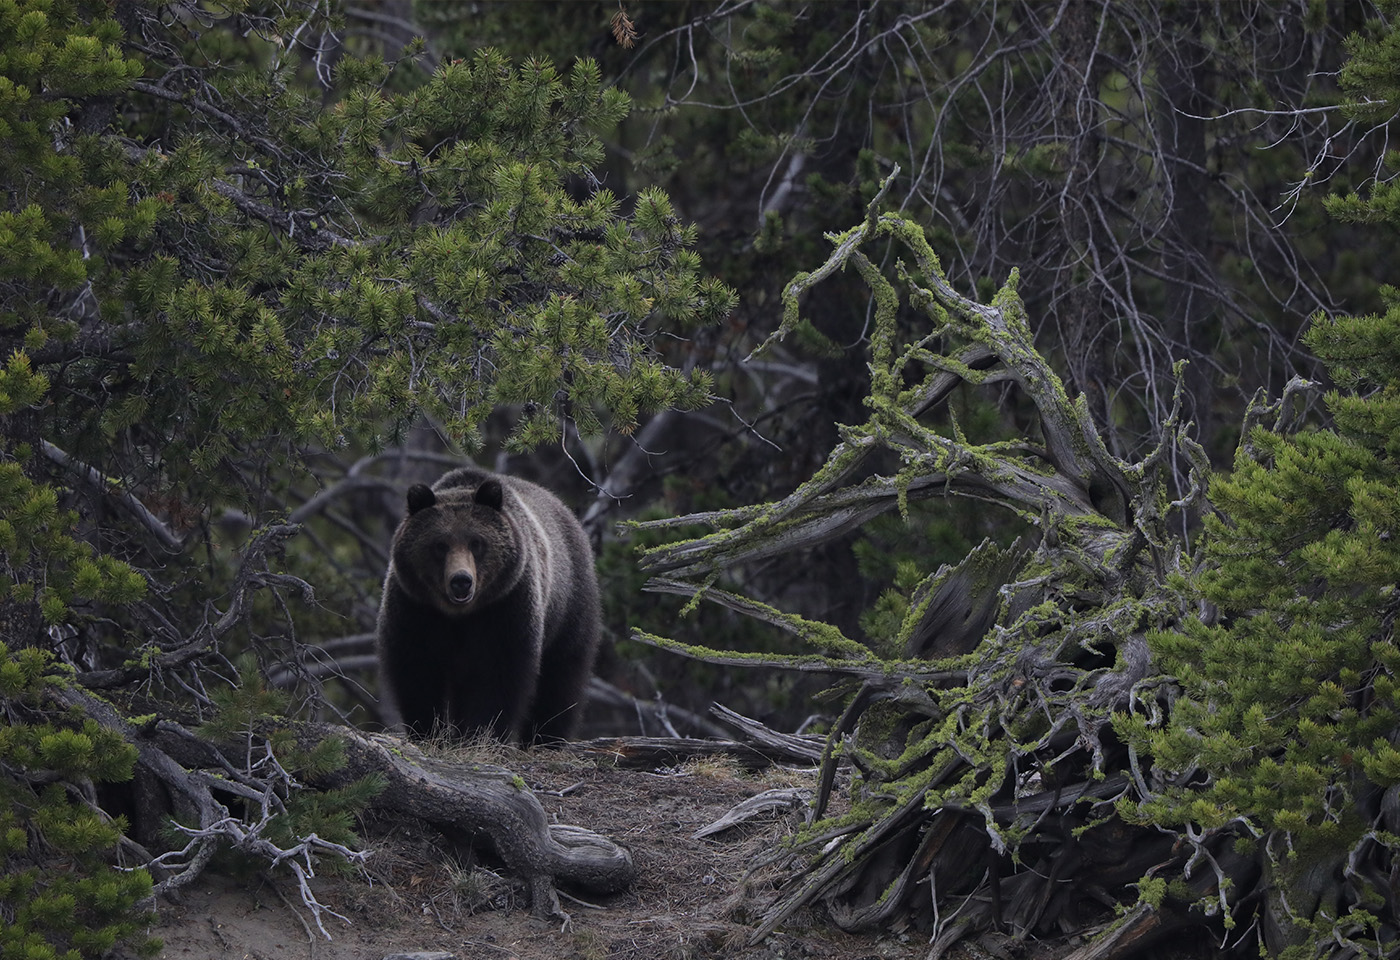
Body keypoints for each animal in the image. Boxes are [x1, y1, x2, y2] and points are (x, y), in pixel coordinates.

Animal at [375, 465, 601, 745]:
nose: (461, 581)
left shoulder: (505, 607)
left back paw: (546, 738)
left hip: (568, 607)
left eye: (476, 543)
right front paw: (429, 731)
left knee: (561, 677)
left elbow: (497, 676)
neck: (460, 615)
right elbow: (417, 670)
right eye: (440, 545)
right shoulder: (415, 608)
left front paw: (481, 733)